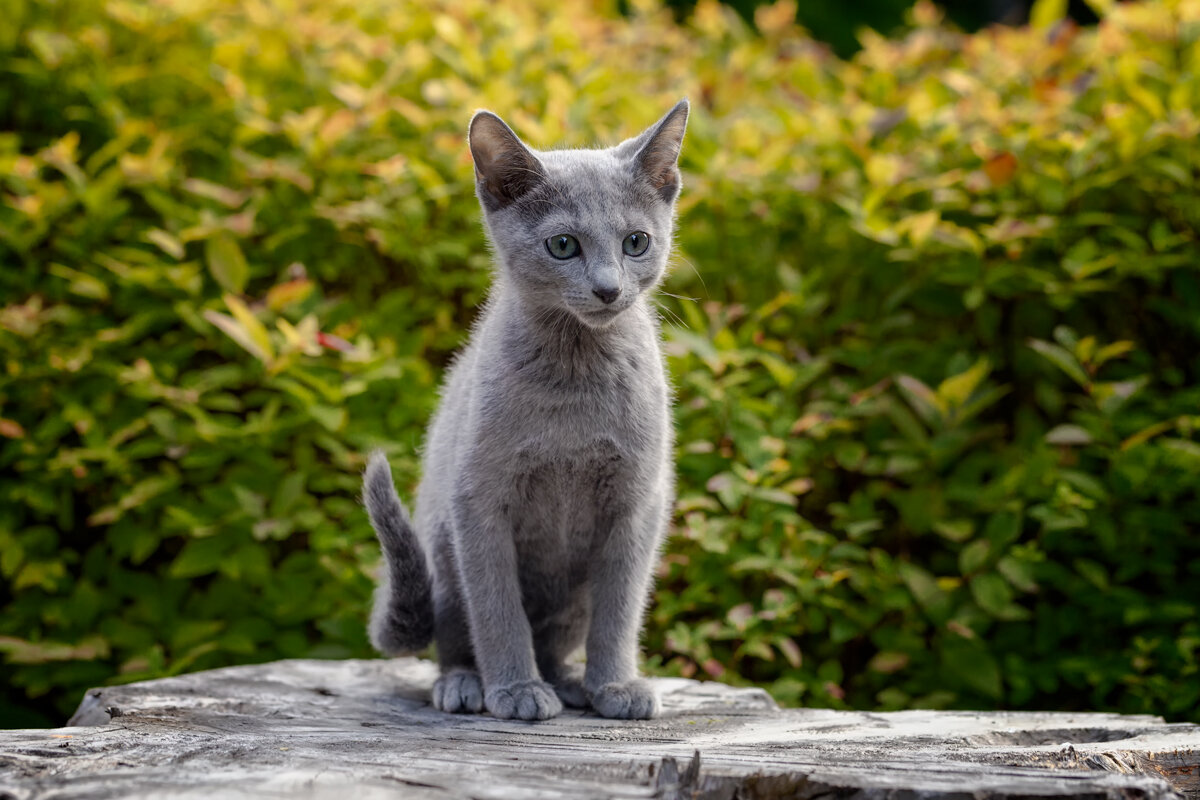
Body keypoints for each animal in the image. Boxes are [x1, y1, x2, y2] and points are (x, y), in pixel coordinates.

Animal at [360, 97, 691, 724]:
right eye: (563, 245)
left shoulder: (638, 501)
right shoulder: (478, 499)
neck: (574, 375)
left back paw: (571, 682)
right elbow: (497, 608)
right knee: (453, 640)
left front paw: (616, 685)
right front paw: (515, 689)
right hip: (442, 553)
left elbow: (621, 607)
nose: (608, 289)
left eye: (636, 242)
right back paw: (466, 685)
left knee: (562, 637)